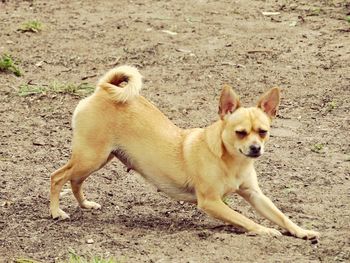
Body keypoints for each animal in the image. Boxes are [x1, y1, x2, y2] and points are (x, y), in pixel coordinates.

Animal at [50, 65, 320, 240]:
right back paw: (56, 212)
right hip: (90, 158)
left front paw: (302, 231)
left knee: (74, 181)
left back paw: (85, 204)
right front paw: (264, 230)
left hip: (99, 159)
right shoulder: (211, 202)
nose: (256, 148)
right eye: (240, 133)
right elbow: (244, 219)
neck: (231, 161)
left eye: (263, 132)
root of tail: (102, 90)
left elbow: (281, 215)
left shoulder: (255, 195)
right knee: (57, 177)